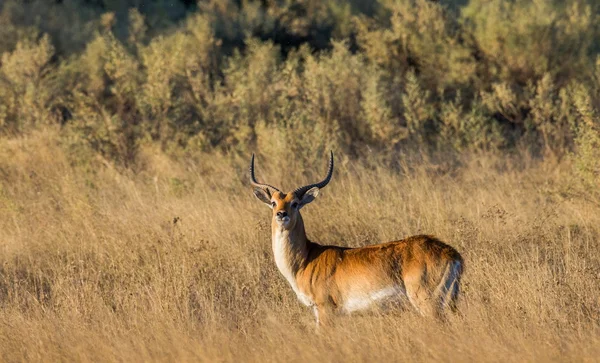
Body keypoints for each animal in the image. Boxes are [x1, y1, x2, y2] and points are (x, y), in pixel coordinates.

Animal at [248, 151, 464, 328]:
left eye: (295, 203)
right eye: (273, 202)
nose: (281, 214)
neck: (306, 260)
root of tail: (452, 254)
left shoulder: (325, 310)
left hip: (428, 303)